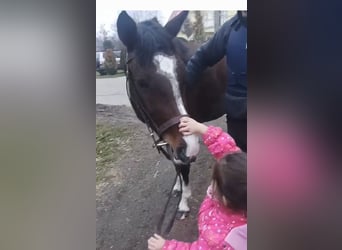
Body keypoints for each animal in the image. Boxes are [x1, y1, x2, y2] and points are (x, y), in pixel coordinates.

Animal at [116, 10, 228, 219]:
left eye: (184, 76)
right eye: (142, 82)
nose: (190, 147)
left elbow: (183, 166)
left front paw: (183, 203)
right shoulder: (168, 133)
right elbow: (176, 163)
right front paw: (177, 187)